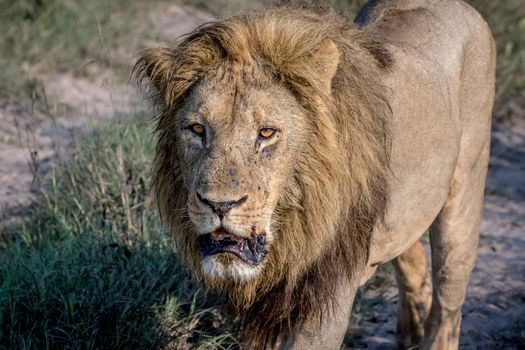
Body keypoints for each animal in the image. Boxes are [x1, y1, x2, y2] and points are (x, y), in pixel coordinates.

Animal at [135, 1, 496, 348]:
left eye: (266, 133)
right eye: (197, 129)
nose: (219, 205)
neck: (292, 231)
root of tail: (463, 8)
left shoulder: (326, 299)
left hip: (464, 197)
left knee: (448, 305)